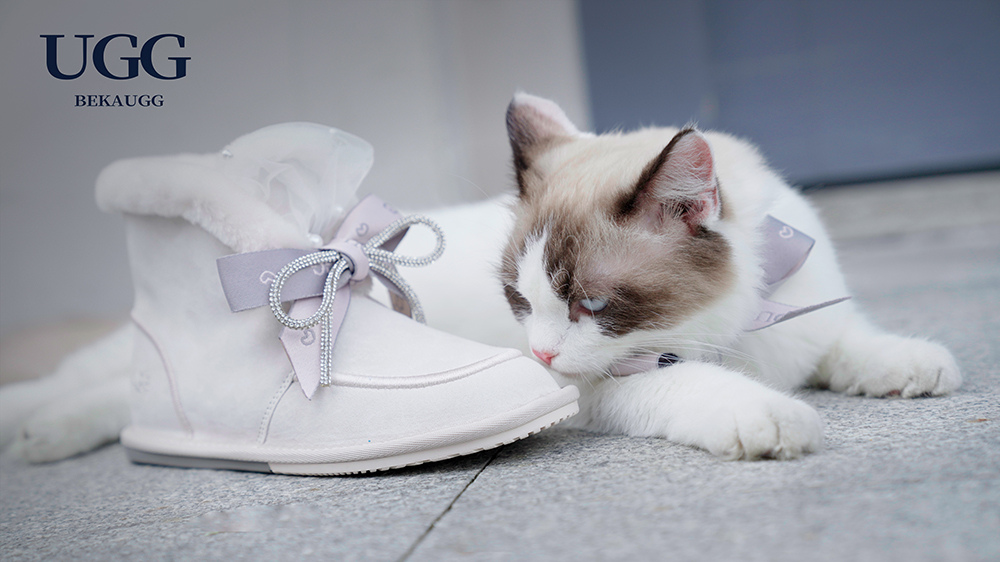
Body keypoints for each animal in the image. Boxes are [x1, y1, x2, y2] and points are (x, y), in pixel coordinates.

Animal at [0, 93, 962, 462]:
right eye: (519, 304)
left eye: (591, 304)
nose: (537, 360)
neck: (737, 331)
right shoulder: (600, 388)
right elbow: (694, 389)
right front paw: (762, 416)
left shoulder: (806, 317)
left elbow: (850, 339)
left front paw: (908, 363)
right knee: (95, 378)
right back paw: (36, 429)